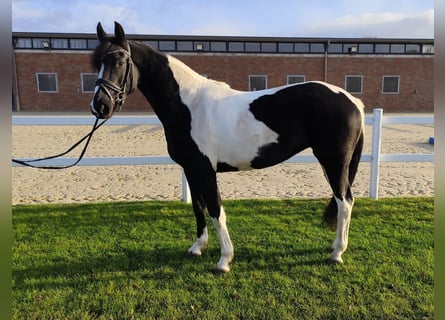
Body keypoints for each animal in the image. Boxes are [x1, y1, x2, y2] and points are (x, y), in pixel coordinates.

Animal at [90, 21, 364, 272]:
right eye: (97, 63)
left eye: (120, 62)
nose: (100, 105)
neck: (188, 105)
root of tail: (352, 100)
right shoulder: (192, 169)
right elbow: (198, 207)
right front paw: (197, 247)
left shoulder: (205, 170)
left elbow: (215, 210)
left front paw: (224, 260)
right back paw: (335, 247)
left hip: (334, 162)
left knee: (345, 202)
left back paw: (336, 253)